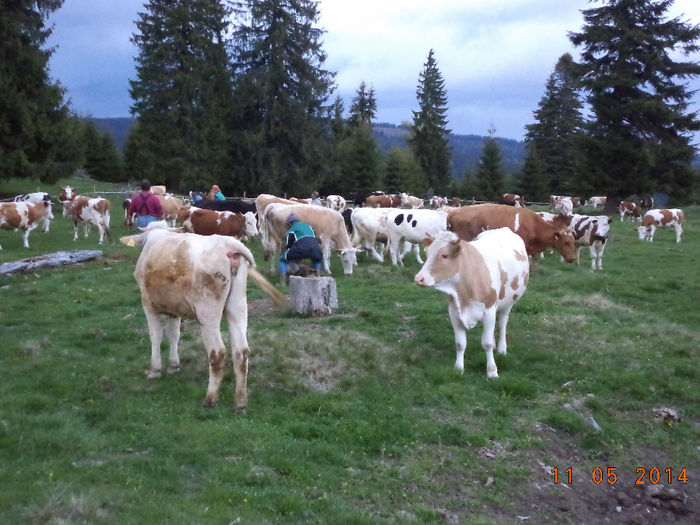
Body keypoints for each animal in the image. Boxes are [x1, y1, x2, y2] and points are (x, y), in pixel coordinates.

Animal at [119, 227, 284, 412]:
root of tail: (228, 243)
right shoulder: (174, 309)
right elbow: (173, 335)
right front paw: (173, 366)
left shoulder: (148, 304)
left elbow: (156, 336)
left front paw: (155, 370)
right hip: (238, 307)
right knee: (241, 352)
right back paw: (240, 402)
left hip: (208, 313)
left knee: (218, 353)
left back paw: (210, 399)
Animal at [412, 227, 528, 378]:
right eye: (428, 253)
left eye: (444, 255)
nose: (419, 278)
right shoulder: (454, 311)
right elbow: (460, 343)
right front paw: (458, 368)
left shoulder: (489, 311)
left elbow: (487, 343)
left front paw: (492, 370)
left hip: (508, 303)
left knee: (502, 323)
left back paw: (502, 349)